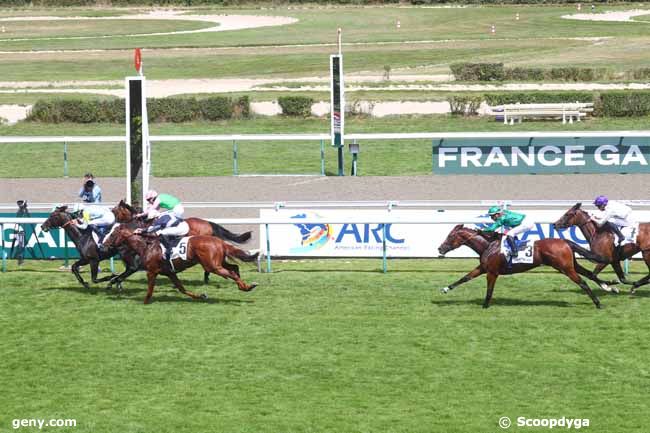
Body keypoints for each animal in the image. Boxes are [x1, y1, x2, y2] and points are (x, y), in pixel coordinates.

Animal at [104, 223, 258, 304]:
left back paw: (245, 286)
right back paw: (244, 285)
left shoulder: (151, 272)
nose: (103, 245)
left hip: (212, 266)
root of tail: (219, 241)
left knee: (231, 272)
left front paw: (145, 302)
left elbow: (150, 290)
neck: (146, 246)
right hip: (218, 263)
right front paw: (201, 296)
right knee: (234, 268)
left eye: (112, 234)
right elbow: (181, 289)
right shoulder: (170, 273)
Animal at [436, 224, 608, 308]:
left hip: (565, 268)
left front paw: (485, 305)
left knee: (583, 282)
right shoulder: (483, 268)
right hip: (571, 265)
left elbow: (489, 290)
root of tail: (564, 241)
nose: (440, 249)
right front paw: (445, 289)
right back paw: (608, 287)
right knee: (590, 275)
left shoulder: (492, 272)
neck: (489, 245)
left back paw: (599, 303)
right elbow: (464, 278)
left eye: (450, 236)